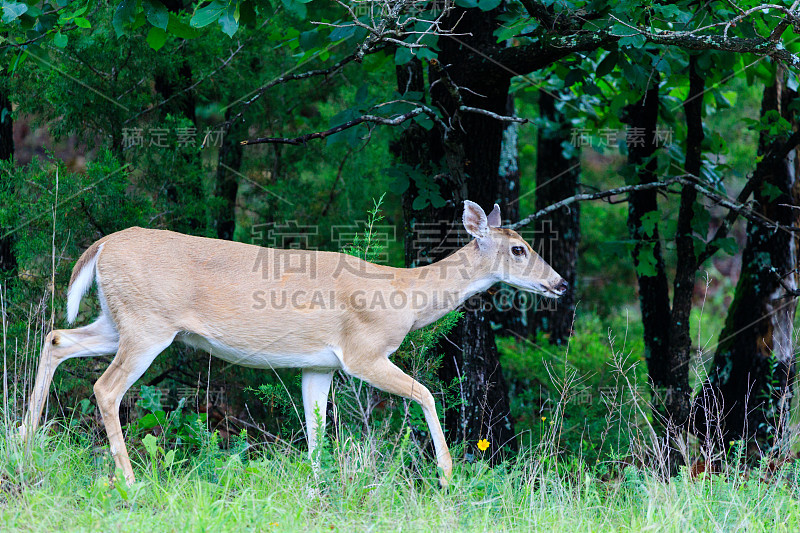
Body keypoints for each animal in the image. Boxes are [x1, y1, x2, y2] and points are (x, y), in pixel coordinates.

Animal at [21, 198, 564, 482]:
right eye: (519, 249)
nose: (559, 283)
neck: (404, 296)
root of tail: (101, 245)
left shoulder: (318, 364)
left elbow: (316, 430)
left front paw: (317, 486)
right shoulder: (363, 353)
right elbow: (427, 393)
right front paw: (448, 475)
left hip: (119, 320)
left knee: (57, 338)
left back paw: (24, 440)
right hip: (148, 323)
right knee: (106, 388)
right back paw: (129, 480)